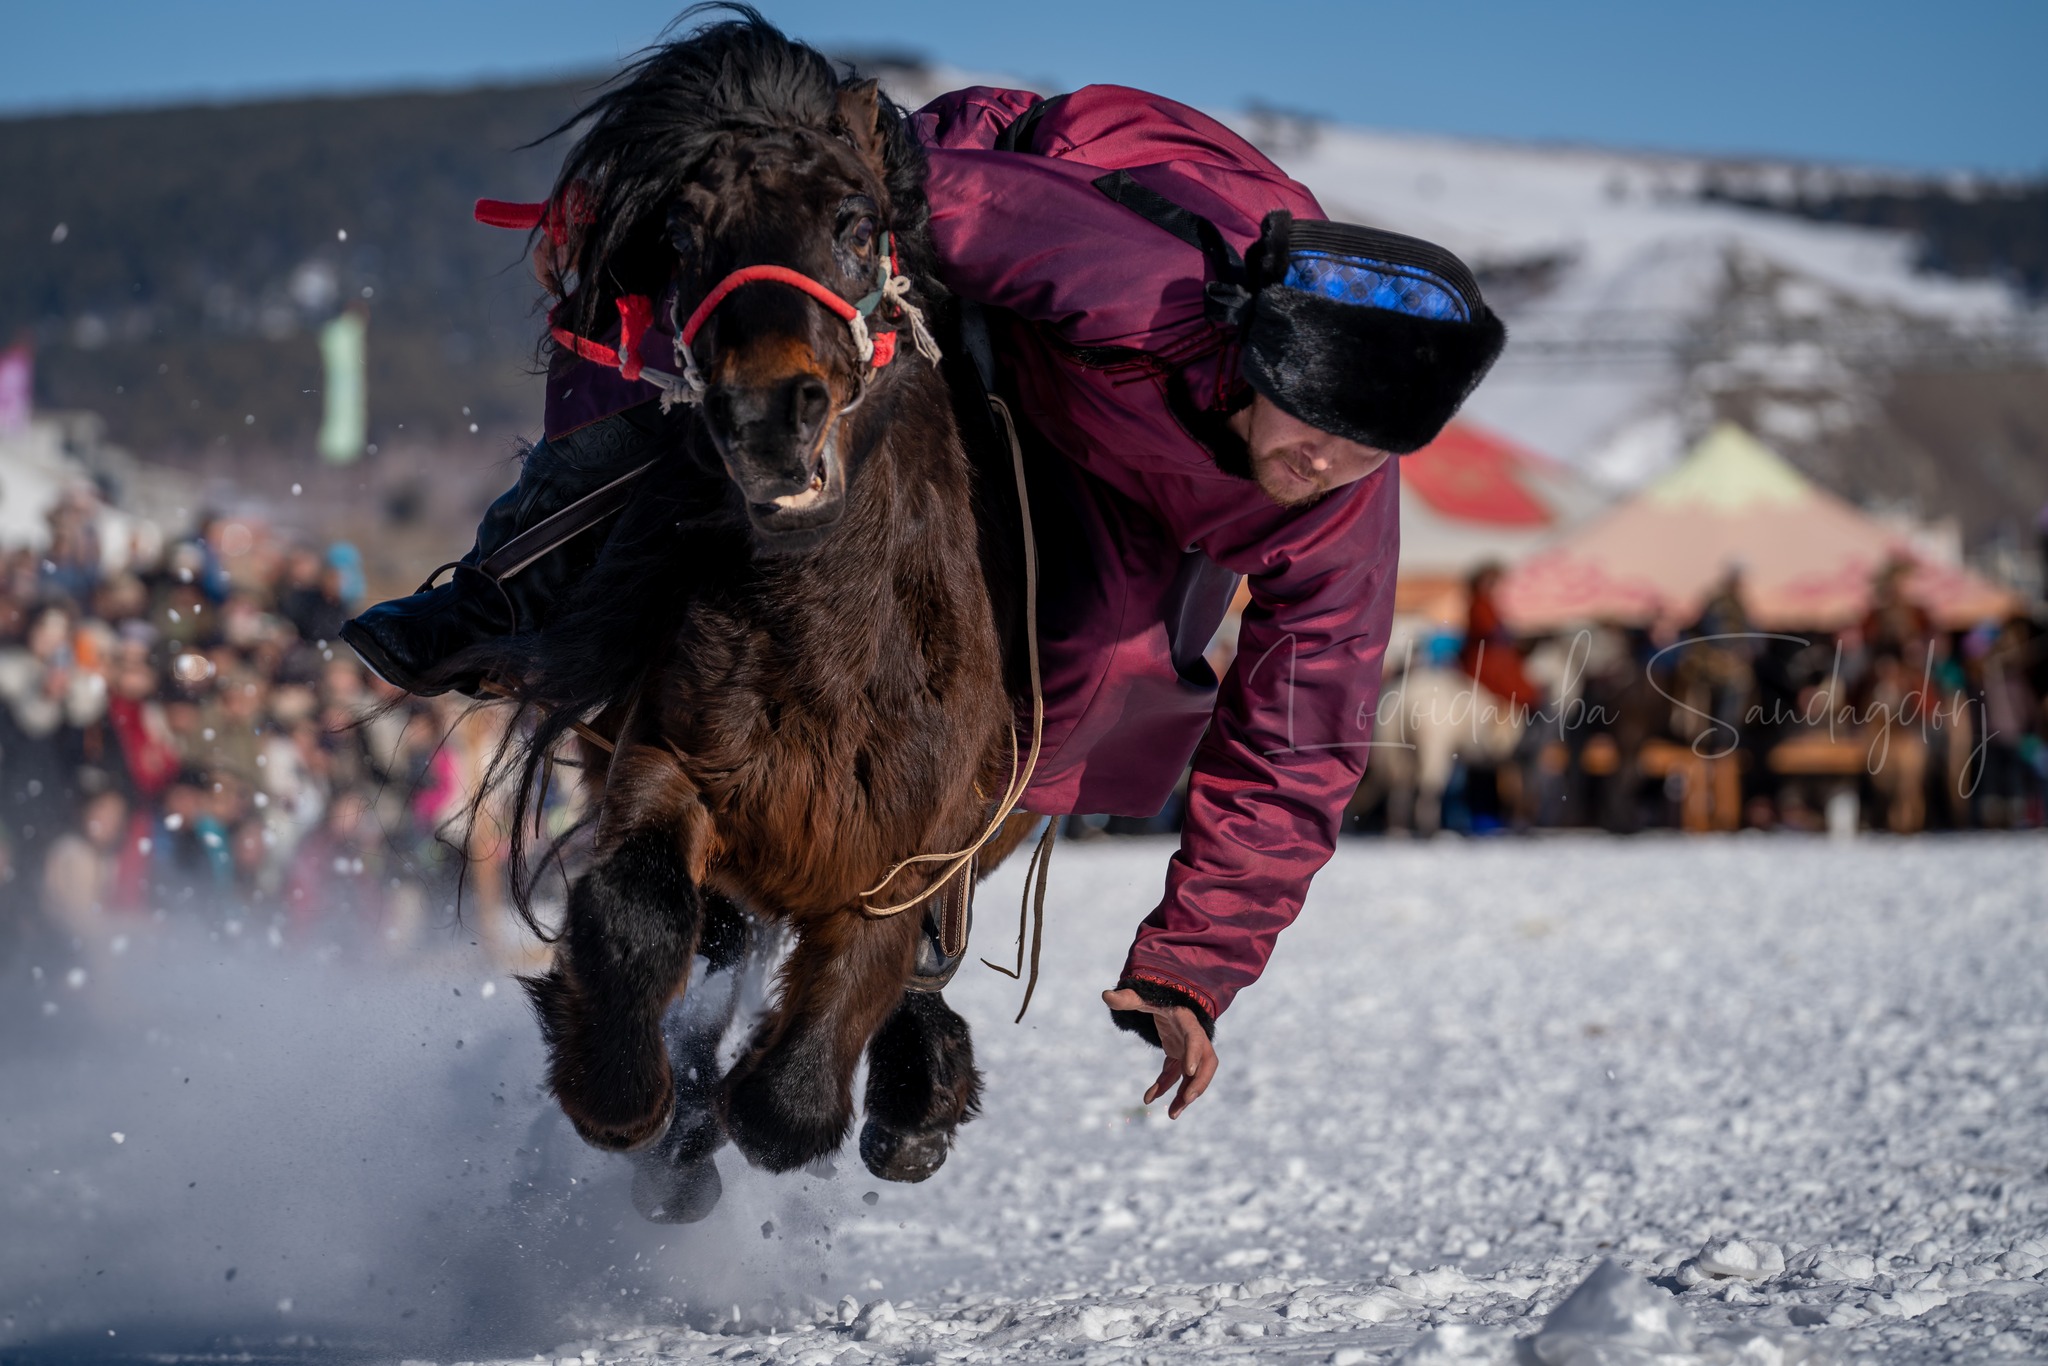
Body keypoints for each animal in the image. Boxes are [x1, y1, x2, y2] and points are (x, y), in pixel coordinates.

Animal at [453, 12, 1030, 1212]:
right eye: (680, 236)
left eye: (854, 223)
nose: (768, 410)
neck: (835, 648)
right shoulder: (672, 758)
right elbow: (635, 913)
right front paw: (626, 1097)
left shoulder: (905, 858)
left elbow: (792, 1094)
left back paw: (918, 1096)